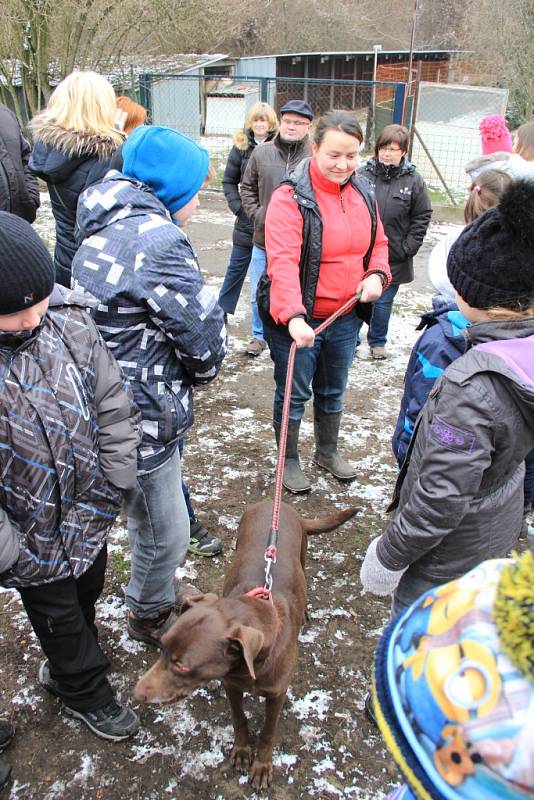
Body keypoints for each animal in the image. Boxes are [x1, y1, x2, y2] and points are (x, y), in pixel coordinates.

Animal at [134, 500, 360, 788]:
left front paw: (262, 766)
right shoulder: (231, 685)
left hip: (302, 553)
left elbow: (268, 731)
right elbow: (239, 719)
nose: (137, 693)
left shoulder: (276, 694)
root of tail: (275, 502)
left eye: (182, 666)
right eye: (161, 647)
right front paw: (242, 752)